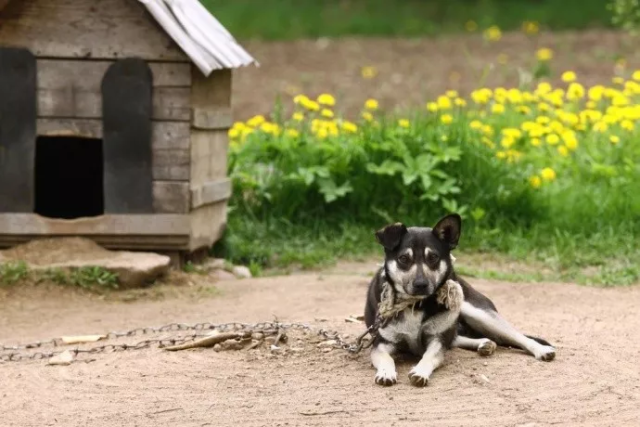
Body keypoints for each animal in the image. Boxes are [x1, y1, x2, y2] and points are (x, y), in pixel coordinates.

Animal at [364, 214, 556, 388]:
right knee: (457, 337)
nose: (421, 284)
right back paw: (485, 343)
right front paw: (386, 372)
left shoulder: (437, 340)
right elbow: (386, 358)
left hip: (478, 312)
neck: (415, 304)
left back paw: (540, 350)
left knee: (516, 335)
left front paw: (420, 371)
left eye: (433, 257)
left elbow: (429, 356)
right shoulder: (381, 343)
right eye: (403, 259)